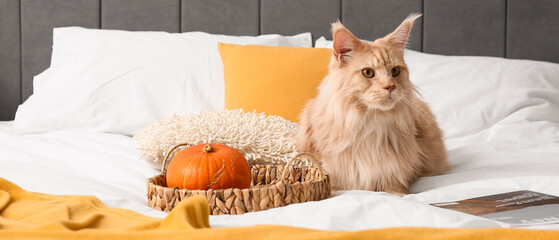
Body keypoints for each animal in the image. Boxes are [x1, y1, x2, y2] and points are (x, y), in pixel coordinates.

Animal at [298, 14, 450, 195]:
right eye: (368, 73)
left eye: (395, 71)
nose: (390, 87)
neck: (370, 124)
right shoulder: (332, 179)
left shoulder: (398, 175)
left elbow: (396, 191)